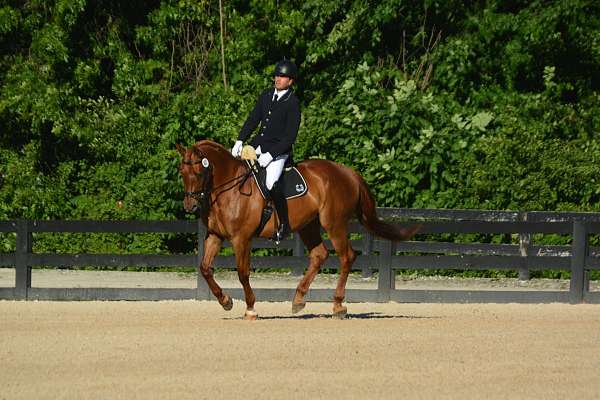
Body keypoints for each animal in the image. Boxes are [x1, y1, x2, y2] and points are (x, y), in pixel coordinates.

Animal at [176, 140, 420, 318]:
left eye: (198, 172)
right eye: (182, 172)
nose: (190, 206)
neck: (229, 189)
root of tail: (348, 172)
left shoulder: (241, 238)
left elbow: (243, 273)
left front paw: (251, 308)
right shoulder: (215, 236)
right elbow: (204, 268)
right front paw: (225, 301)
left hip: (334, 224)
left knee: (346, 256)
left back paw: (338, 306)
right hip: (308, 226)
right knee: (320, 255)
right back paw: (299, 299)